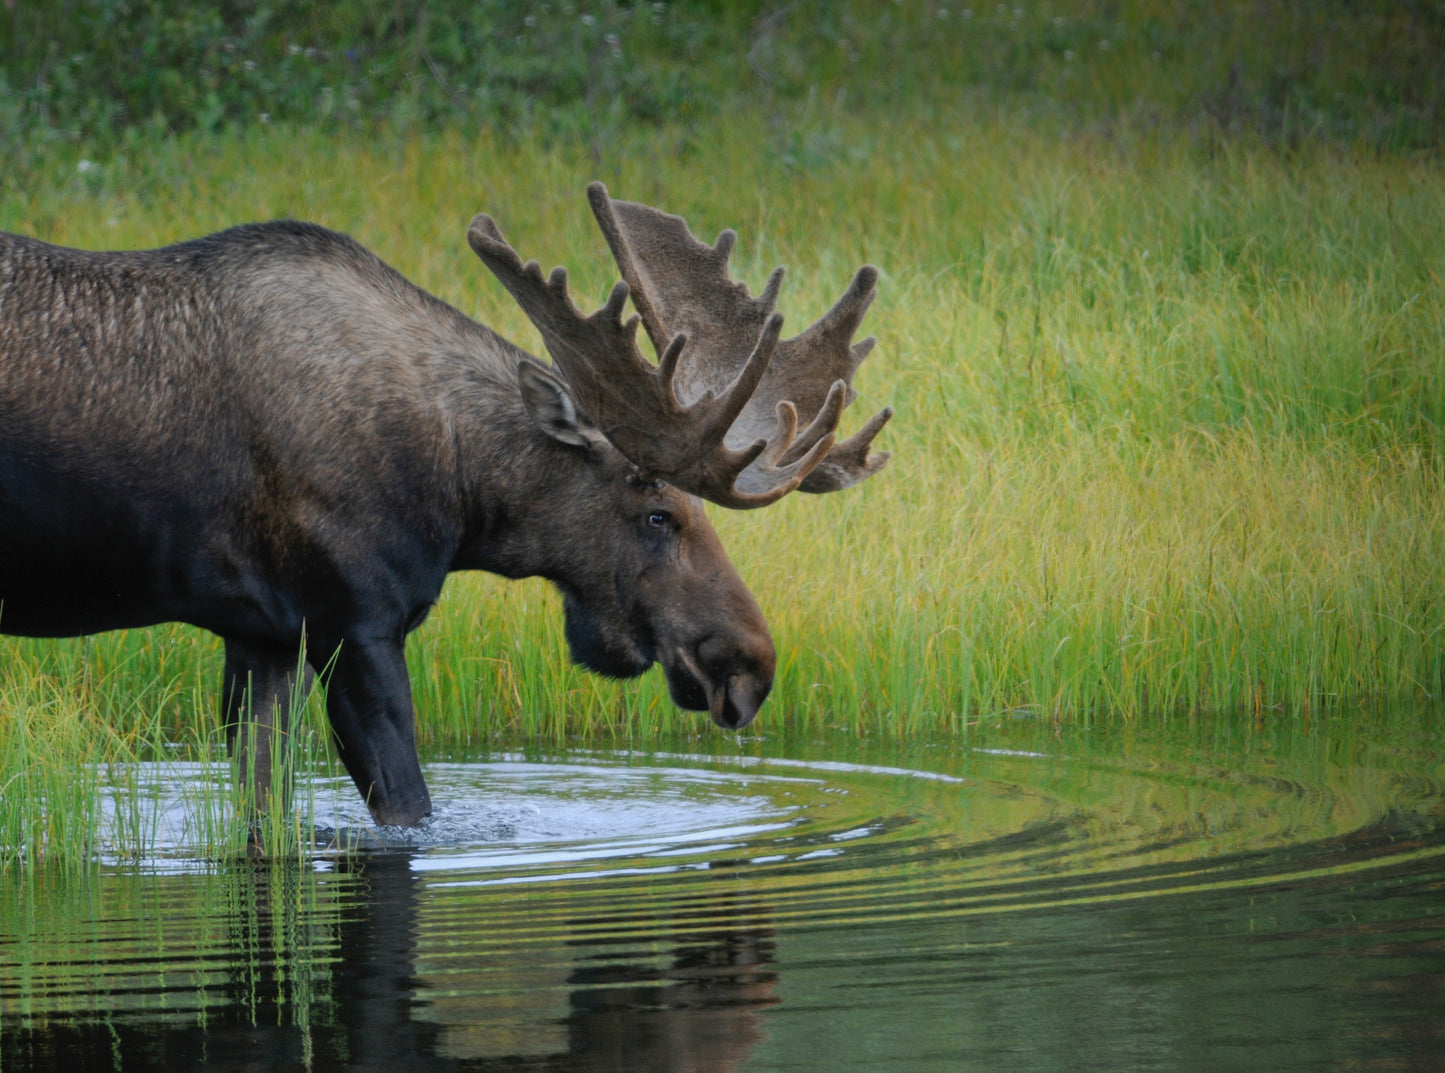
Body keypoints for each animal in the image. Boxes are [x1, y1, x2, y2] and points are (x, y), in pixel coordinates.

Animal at [0, 183, 890, 826]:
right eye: (656, 514)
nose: (749, 663)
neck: (459, 494)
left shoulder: (262, 636)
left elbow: (261, 810)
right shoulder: (355, 622)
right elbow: (410, 812)